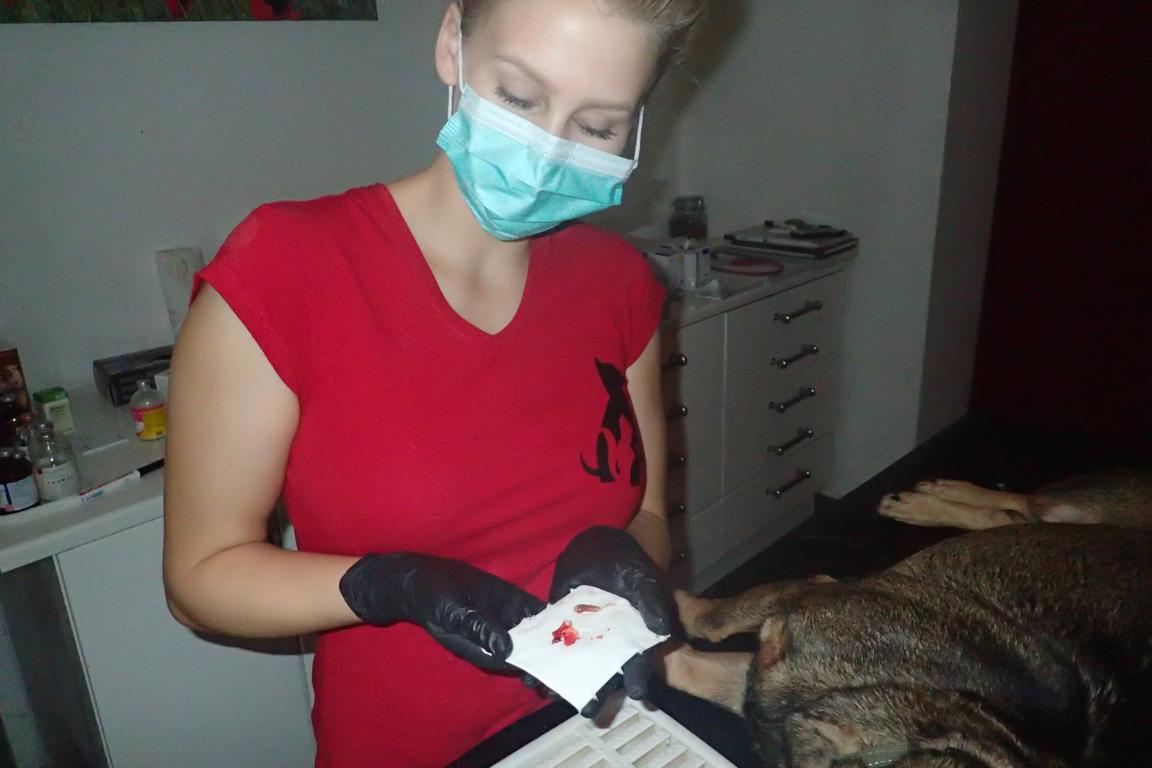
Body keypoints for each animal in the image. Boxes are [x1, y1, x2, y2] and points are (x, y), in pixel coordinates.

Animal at [664, 468, 1152, 768]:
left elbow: (691, 652)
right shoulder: (804, 602)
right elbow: (711, 620)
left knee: (1015, 512)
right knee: (1020, 507)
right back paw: (933, 497)